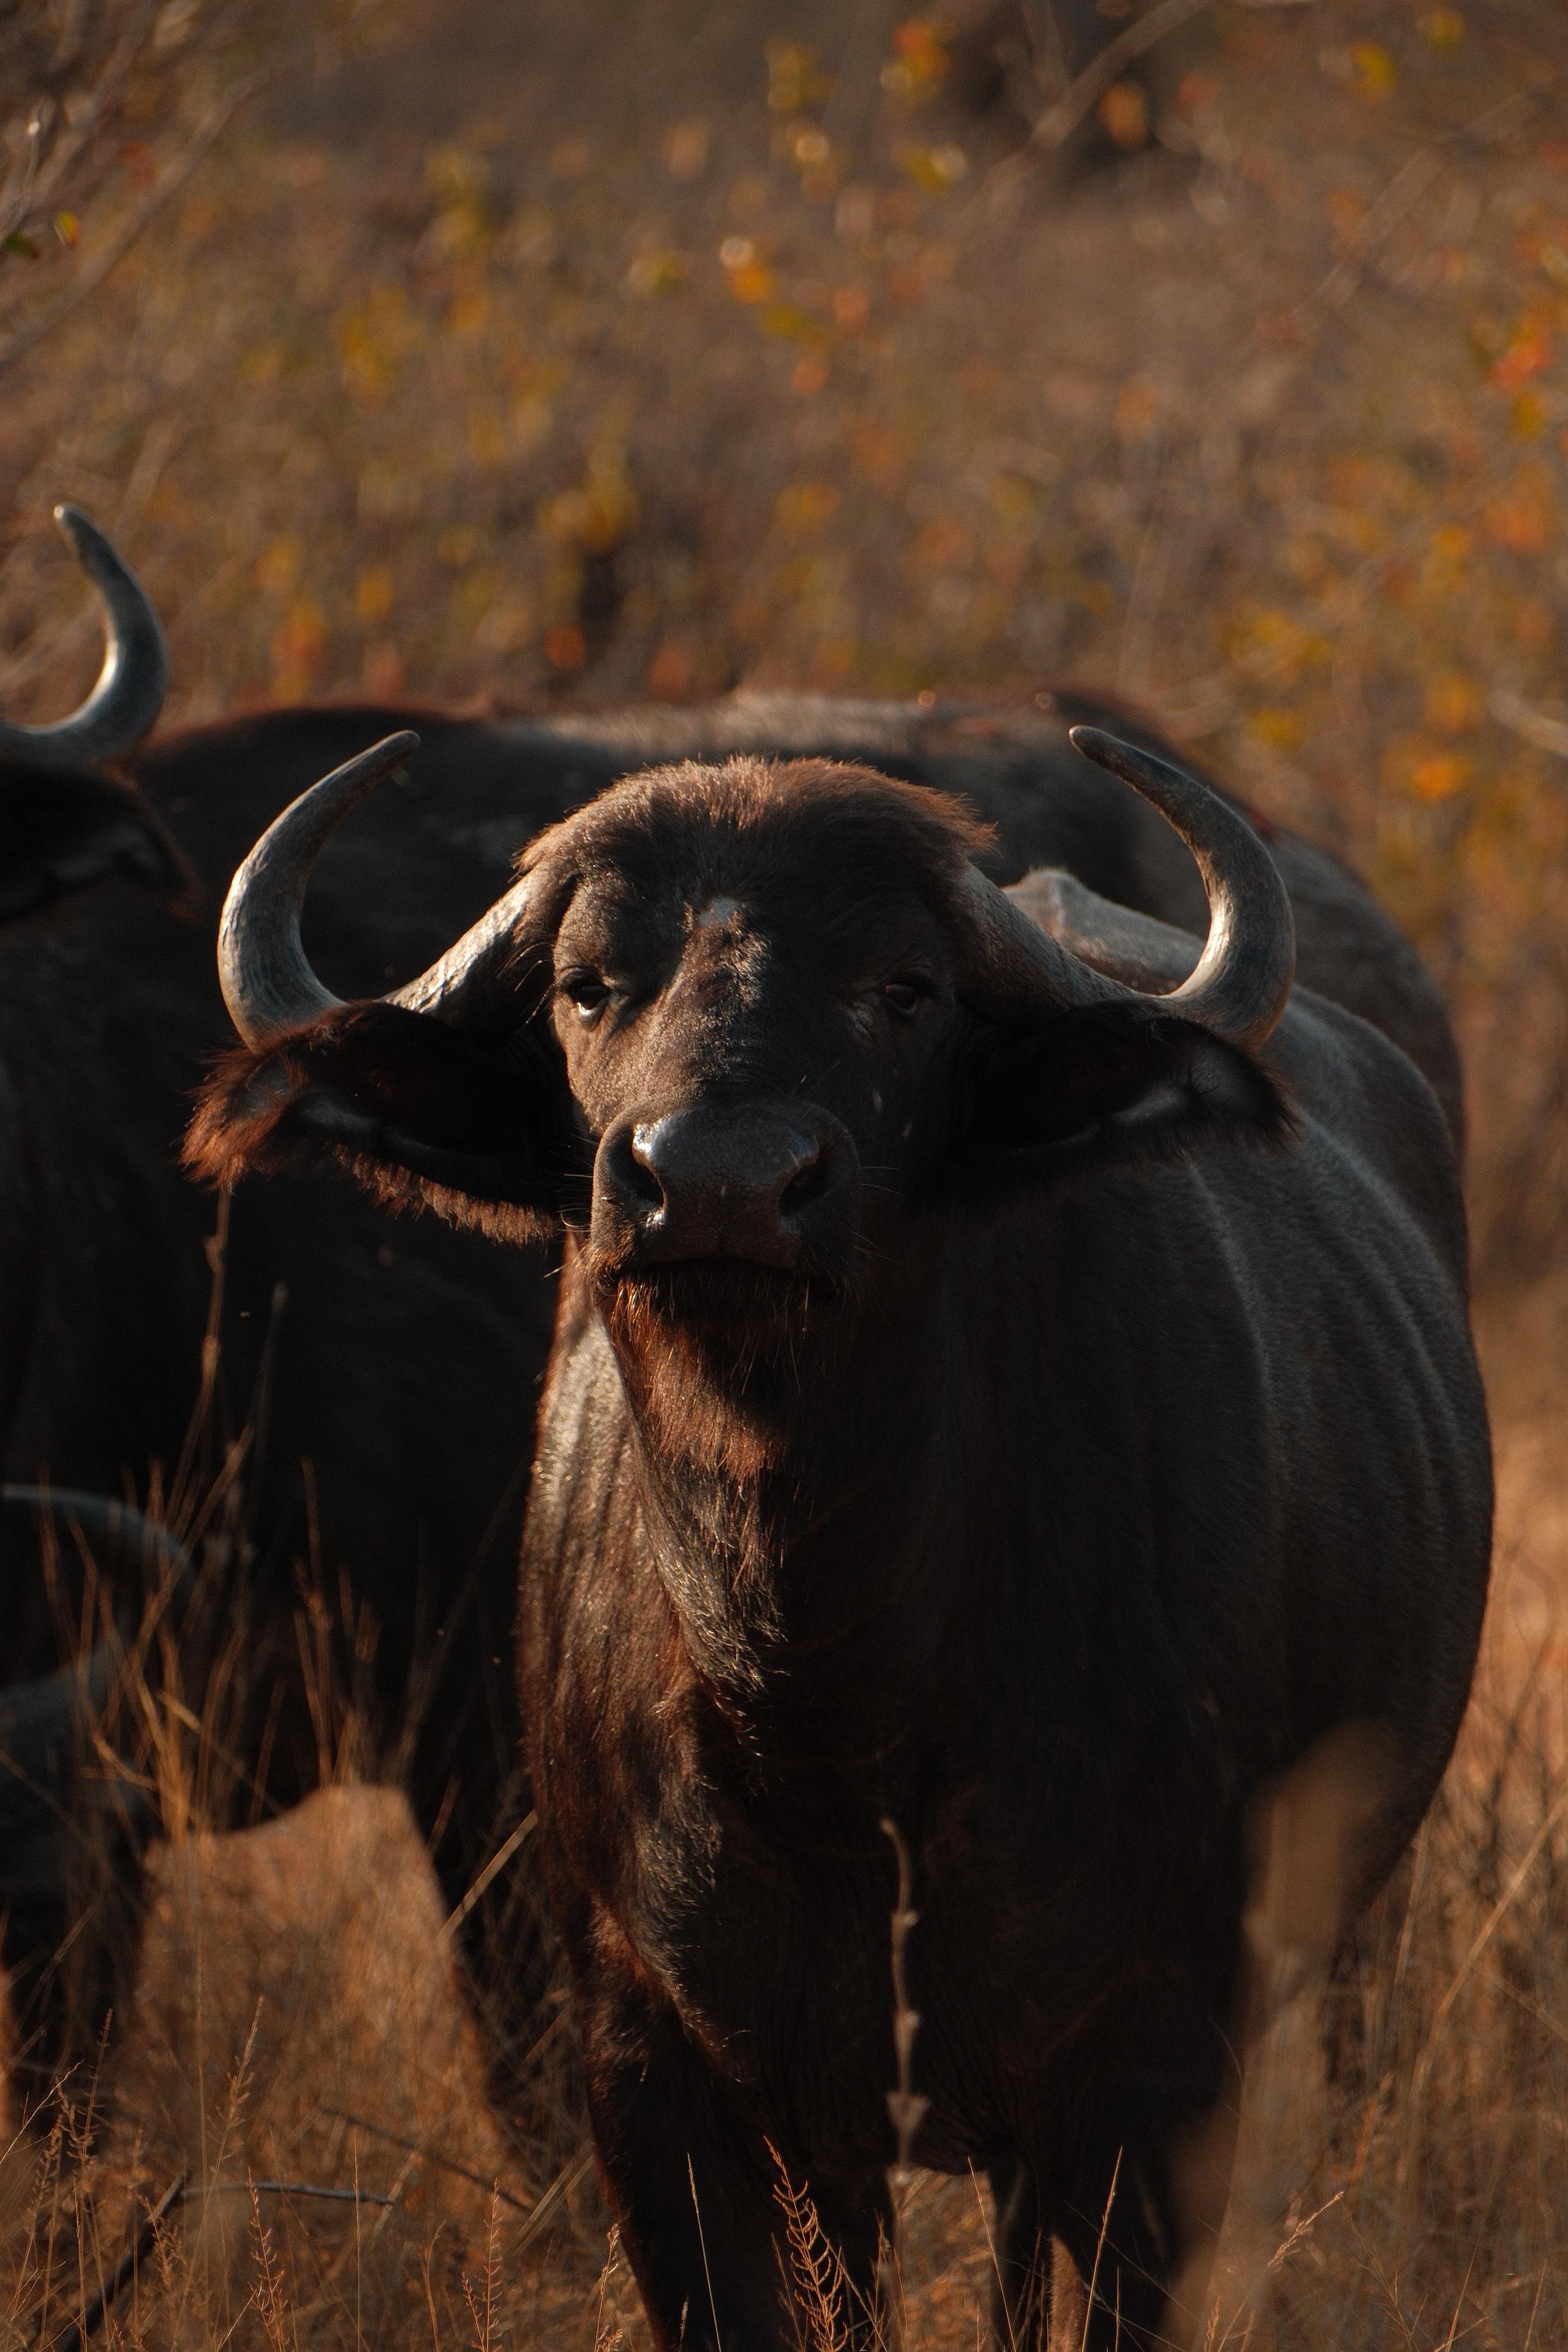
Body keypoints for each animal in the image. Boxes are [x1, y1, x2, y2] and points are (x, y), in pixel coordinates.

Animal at [191, 727, 1491, 2348]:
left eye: (905, 986)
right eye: (588, 984)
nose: (718, 1183)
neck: (832, 1714)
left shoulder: (1152, 2068)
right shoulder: (656, 2070)